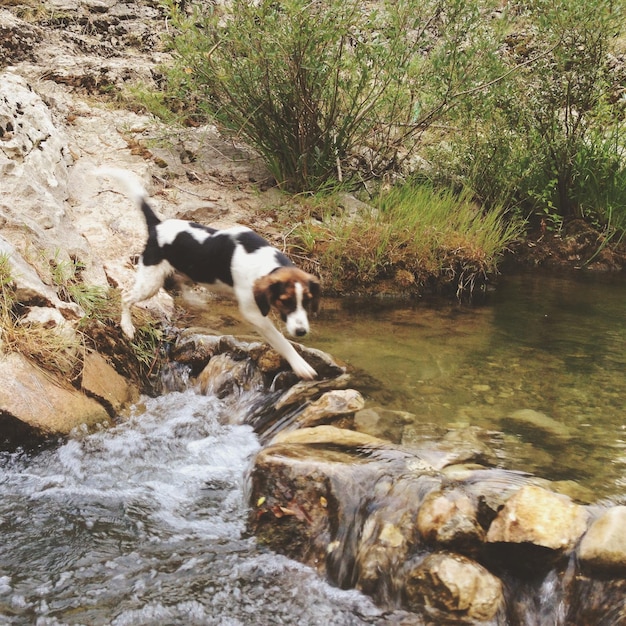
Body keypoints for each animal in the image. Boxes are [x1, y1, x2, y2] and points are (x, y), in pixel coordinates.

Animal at [100, 167, 322, 380]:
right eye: (285, 301)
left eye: (308, 301)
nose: (301, 331)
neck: (266, 262)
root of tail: (158, 225)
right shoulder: (254, 314)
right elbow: (281, 340)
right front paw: (301, 365)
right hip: (150, 282)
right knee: (126, 296)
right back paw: (127, 326)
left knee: (179, 283)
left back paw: (194, 300)